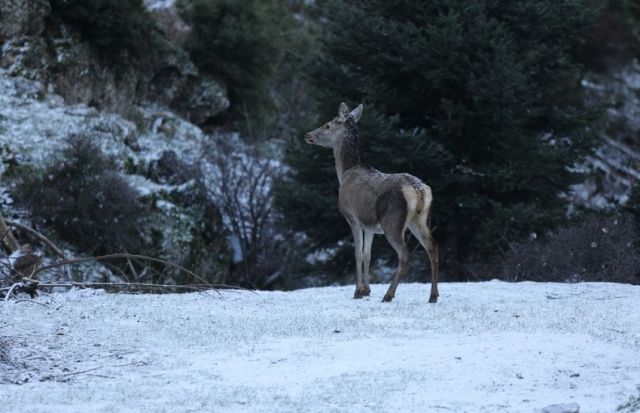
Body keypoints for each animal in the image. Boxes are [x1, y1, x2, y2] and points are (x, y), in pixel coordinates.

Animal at [306, 102, 440, 302]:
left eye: (328, 125)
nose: (308, 135)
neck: (345, 173)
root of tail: (417, 189)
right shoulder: (369, 225)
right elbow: (368, 254)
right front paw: (367, 289)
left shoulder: (352, 217)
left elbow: (357, 254)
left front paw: (358, 291)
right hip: (420, 220)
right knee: (433, 247)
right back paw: (433, 295)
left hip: (392, 220)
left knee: (405, 254)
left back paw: (389, 294)